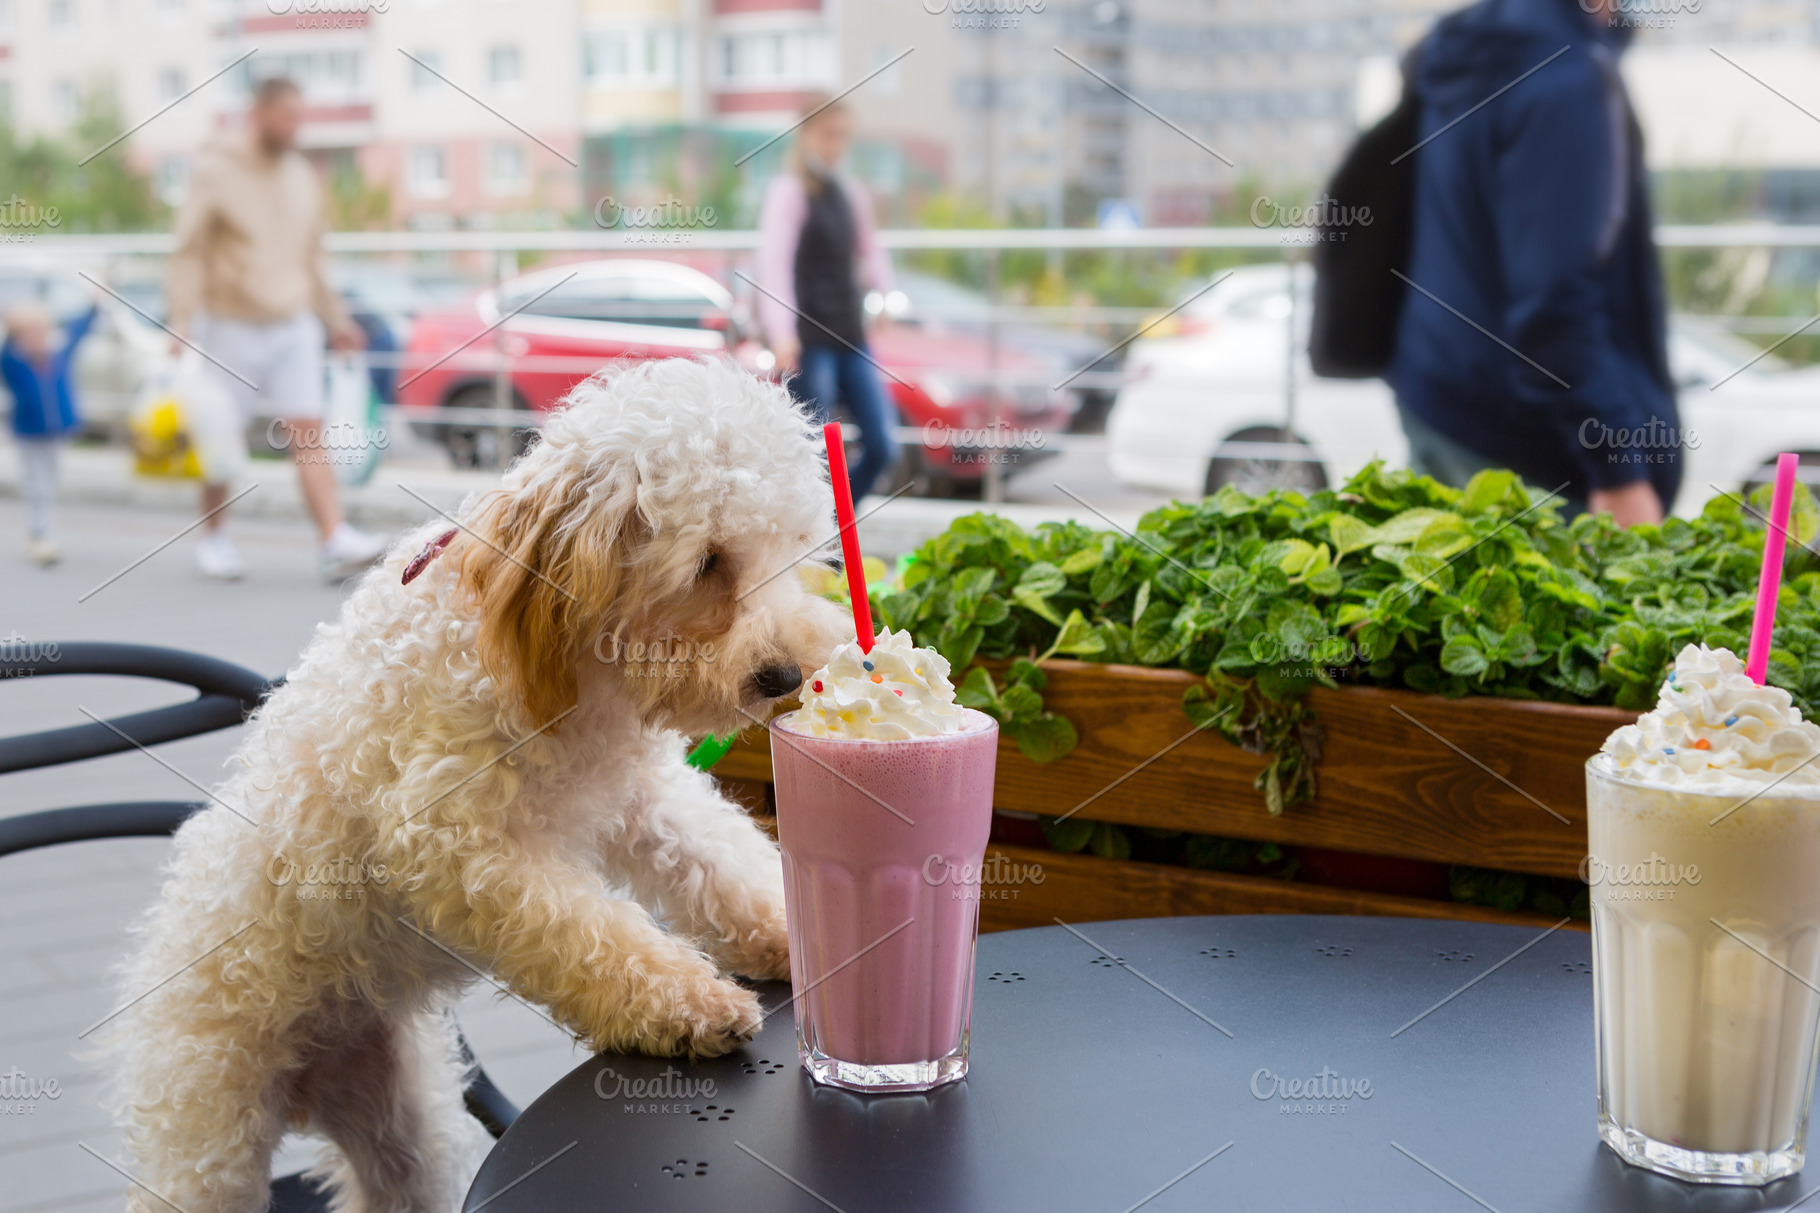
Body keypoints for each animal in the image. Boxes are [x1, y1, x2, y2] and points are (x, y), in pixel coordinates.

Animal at [106, 358, 851, 1209]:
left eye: (793, 550)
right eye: (709, 563)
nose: (785, 676)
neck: (554, 658)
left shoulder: (644, 796)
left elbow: (718, 860)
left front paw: (790, 932)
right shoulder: (455, 844)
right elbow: (591, 934)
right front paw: (688, 1004)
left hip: (403, 1123)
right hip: (209, 1138)